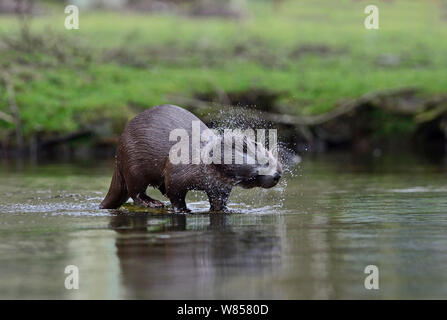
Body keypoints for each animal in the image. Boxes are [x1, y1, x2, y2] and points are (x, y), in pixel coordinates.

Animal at [101, 105, 284, 212]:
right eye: (266, 162)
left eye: (276, 163)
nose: (278, 175)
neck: (201, 163)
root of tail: (118, 156)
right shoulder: (175, 173)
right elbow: (175, 195)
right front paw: (183, 209)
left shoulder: (219, 187)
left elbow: (218, 201)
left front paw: (224, 210)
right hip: (133, 165)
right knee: (136, 192)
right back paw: (152, 202)